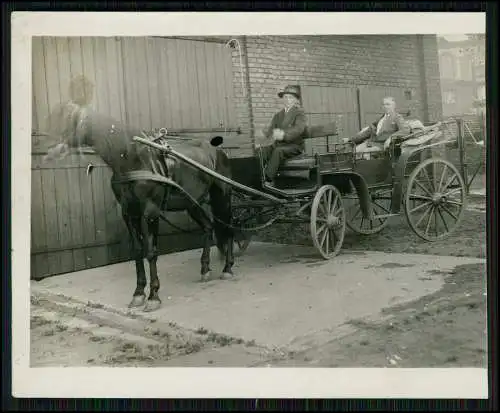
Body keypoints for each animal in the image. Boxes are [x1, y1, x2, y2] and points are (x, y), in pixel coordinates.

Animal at [43, 101, 236, 310]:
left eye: (67, 121)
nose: (49, 152)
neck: (132, 159)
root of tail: (219, 151)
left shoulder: (151, 211)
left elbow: (151, 252)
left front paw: (153, 296)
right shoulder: (129, 213)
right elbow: (137, 250)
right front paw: (138, 293)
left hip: (222, 196)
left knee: (229, 228)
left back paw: (228, 268)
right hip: (191, 203)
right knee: (208, 227)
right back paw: (205, 269)